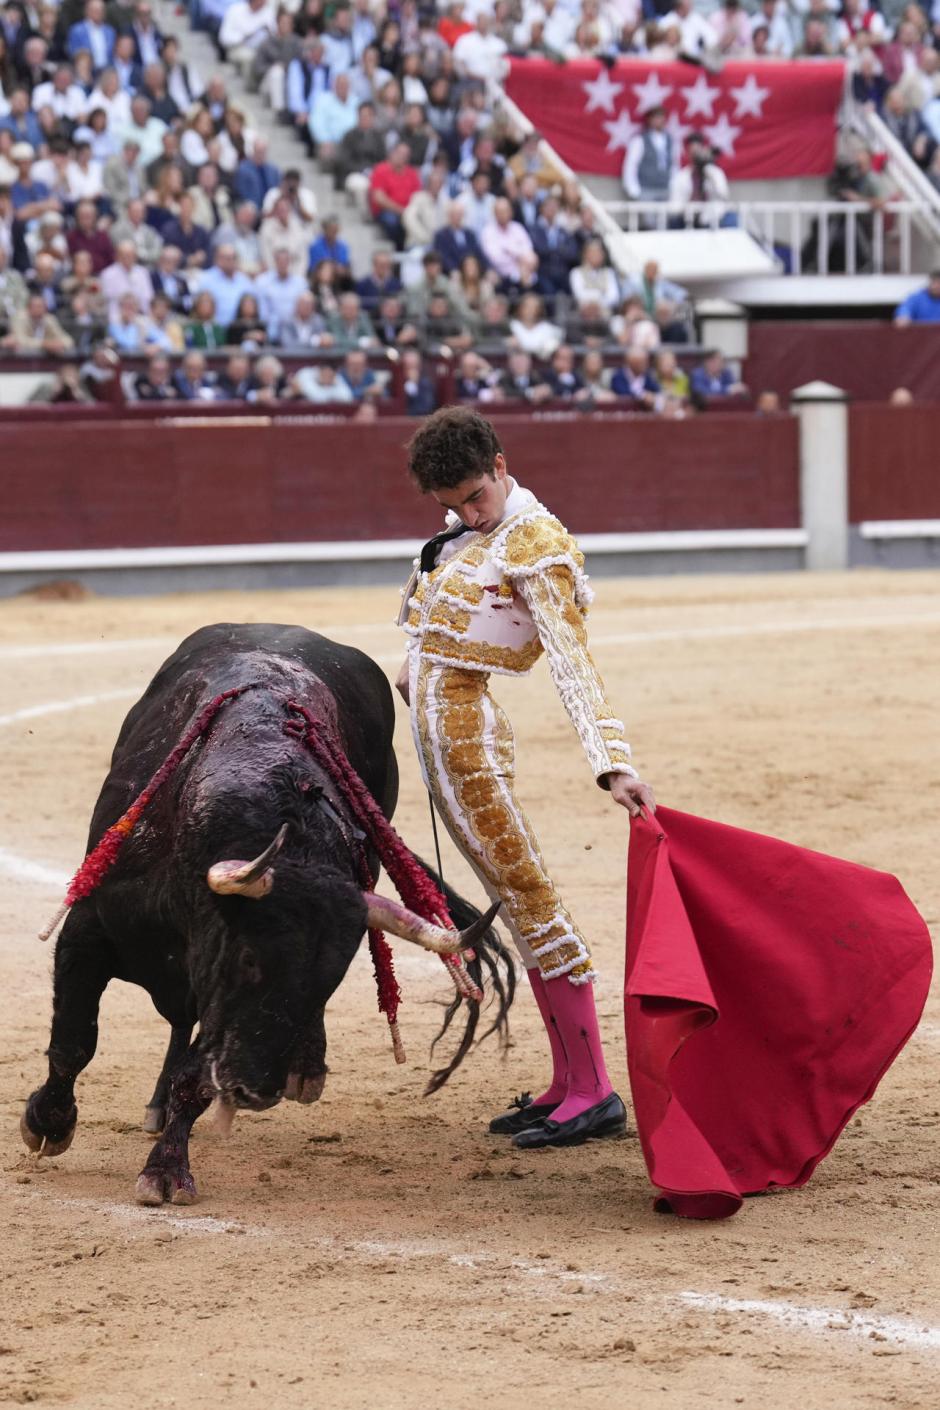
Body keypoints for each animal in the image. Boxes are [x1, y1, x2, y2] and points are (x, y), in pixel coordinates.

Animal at [20, 623, 515, 1206]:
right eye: (251, 959)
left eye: (330, 980)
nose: (256, 1091)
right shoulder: (88, 931)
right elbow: (73, 1042)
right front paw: (47, 1123)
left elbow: (196, 1076)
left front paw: (166, 1170)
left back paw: (300, 1071)